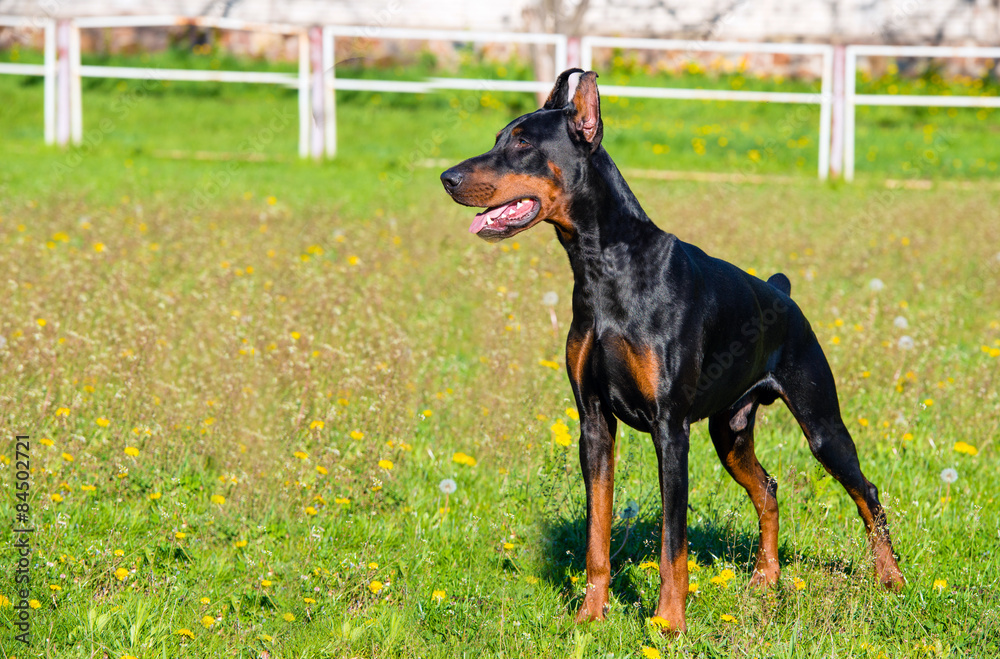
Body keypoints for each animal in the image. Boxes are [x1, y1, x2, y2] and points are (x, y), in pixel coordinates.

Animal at [442, 69, 904, 632]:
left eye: (524, 143)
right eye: (498, 138)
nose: (447, 178)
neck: (604, 265)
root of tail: (783, 293)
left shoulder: (671, 428)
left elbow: (672, 542)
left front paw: (668, 624)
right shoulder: (593, 423)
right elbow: (597, 534)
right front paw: (590, 615)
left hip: (821, 422)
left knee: (867, 492)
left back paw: (890, 578)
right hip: (729, 432)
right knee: (768, 488)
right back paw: (765, 579)